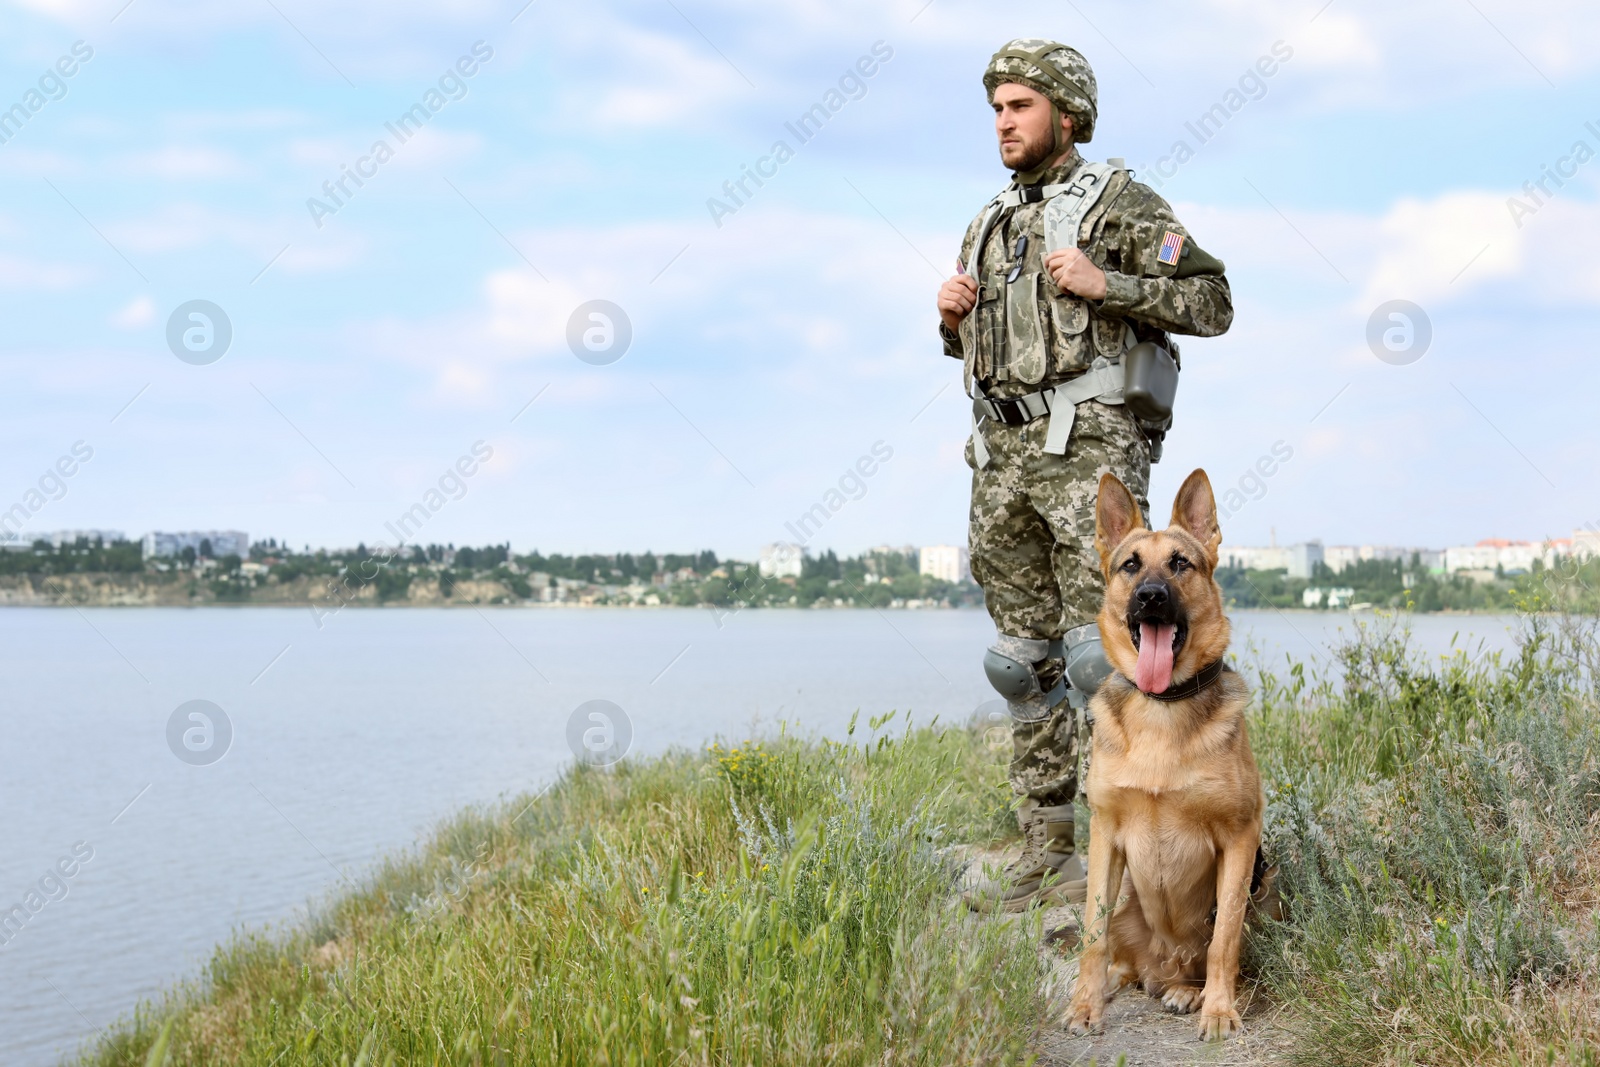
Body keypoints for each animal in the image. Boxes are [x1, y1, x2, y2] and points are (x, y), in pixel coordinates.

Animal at [1062, 470, 1260, 1043]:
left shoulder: (1241, 838)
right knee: (1120, 955)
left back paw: (1189, 993)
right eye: (1131, 565)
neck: (1161, 706)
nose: (1150, 596)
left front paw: (1219, 1009)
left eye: (1180, 563)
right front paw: (1085, 1006)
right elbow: (1092, 936)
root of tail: (1162, 966)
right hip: (1130, 909)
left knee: (1205, 955)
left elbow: (1223, 942)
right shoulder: (1106, 834)